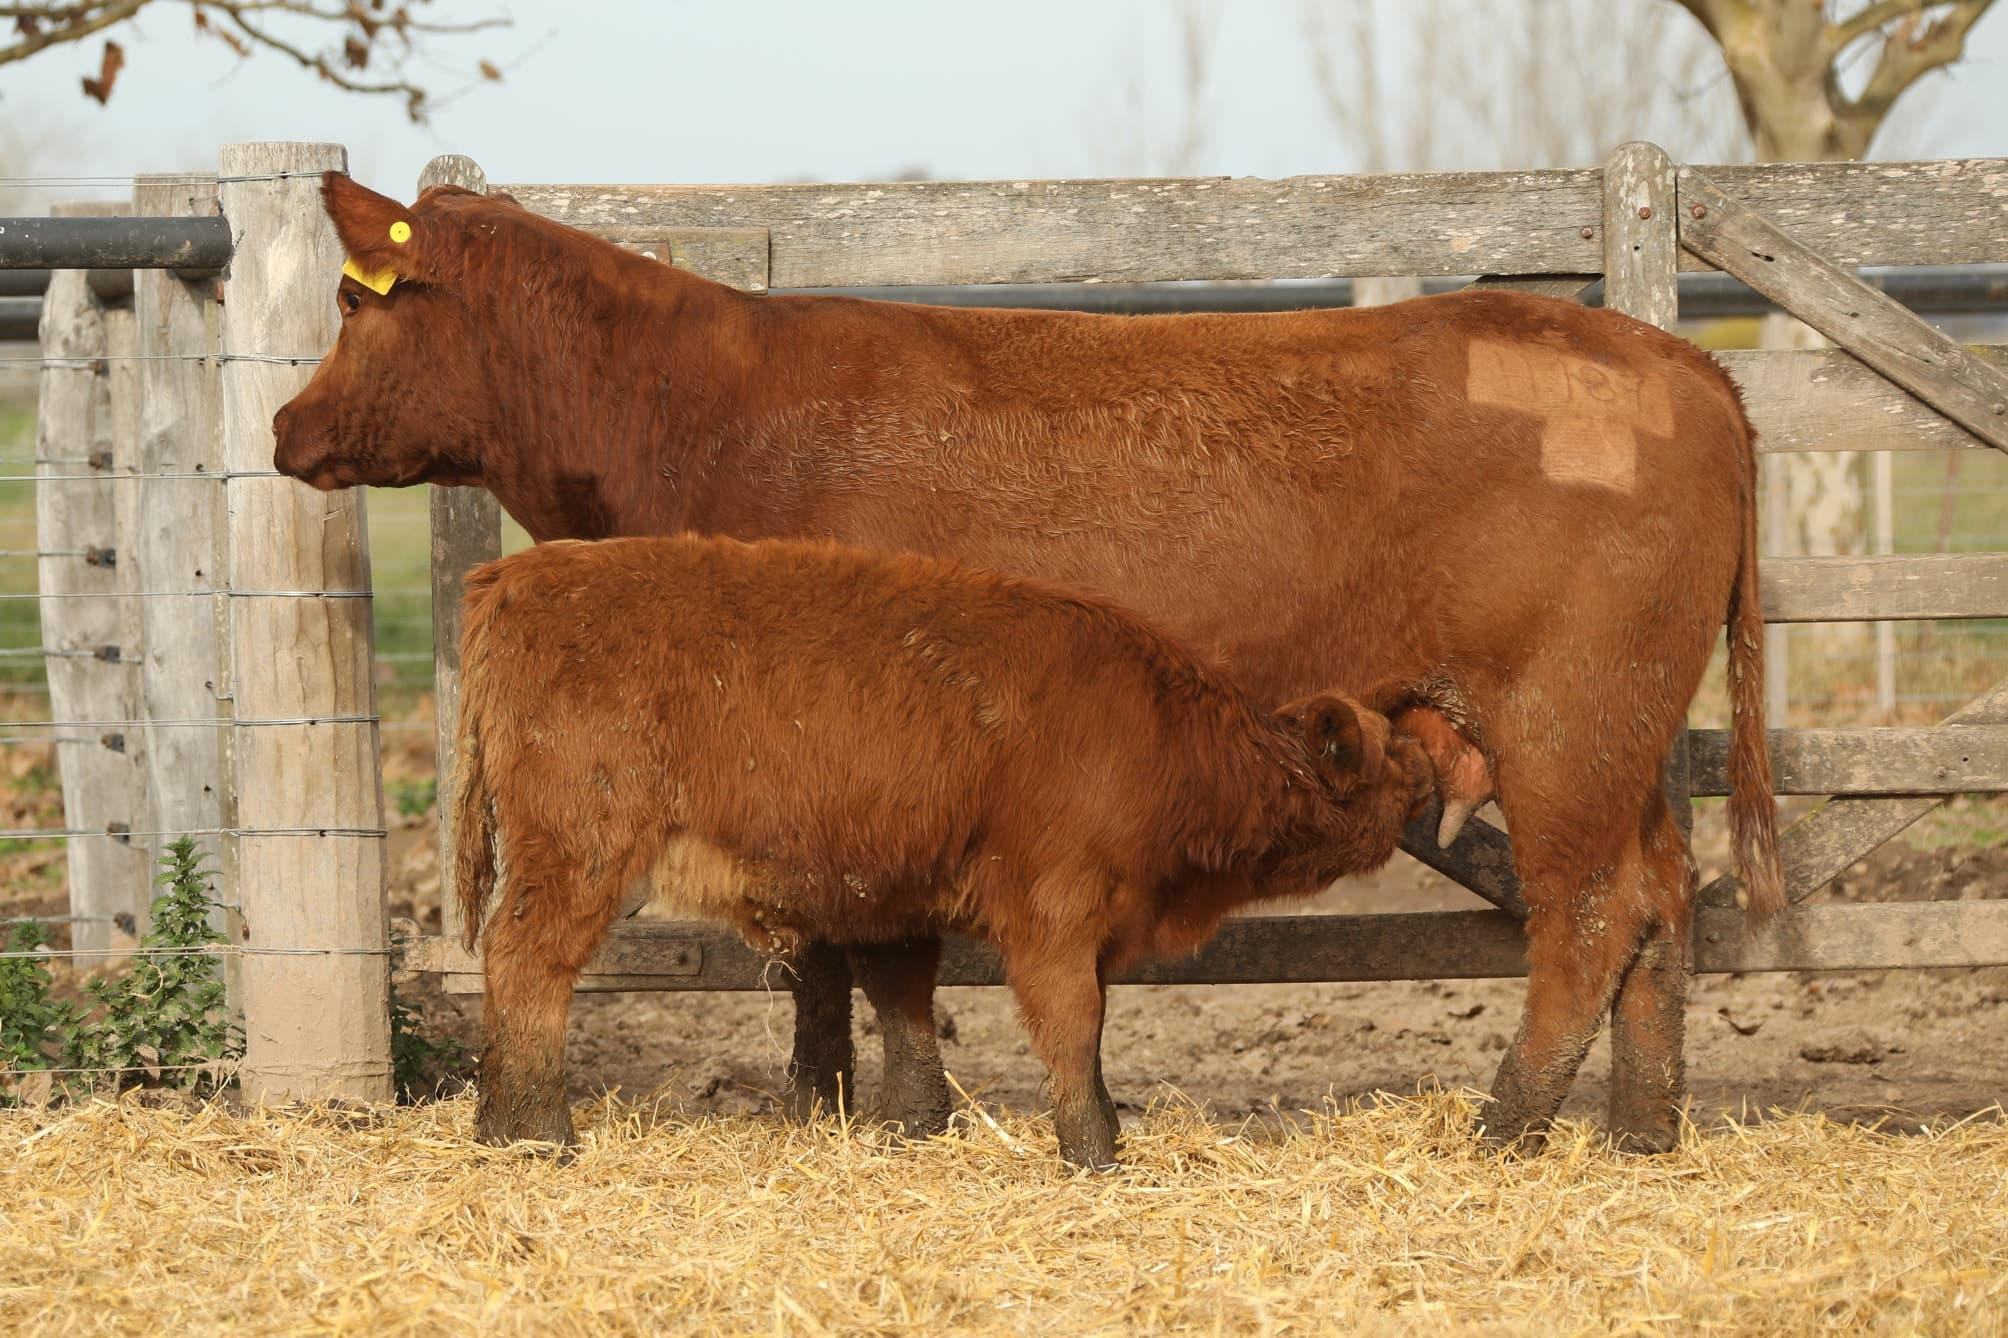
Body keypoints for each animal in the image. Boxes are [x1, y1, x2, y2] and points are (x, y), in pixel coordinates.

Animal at [452, 534, 1433, 1168]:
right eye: (1399, 762)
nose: (1434, 785)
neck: (1157, 728)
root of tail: (515, 572)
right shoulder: (1054, 912)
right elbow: (1071, 1026)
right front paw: (1094, 1150)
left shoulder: (892, 897)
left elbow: (907, 1006)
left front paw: (915, 1127)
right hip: (580, 853)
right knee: (527, 963)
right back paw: (540, 1131)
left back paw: (495, 1124)